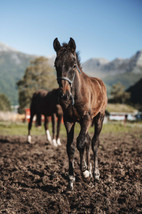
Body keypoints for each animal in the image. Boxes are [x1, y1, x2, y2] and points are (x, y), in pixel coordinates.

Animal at [53, 37, 107, 189]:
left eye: (73, 65)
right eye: (56, 65)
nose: (64, 96)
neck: (75, 94)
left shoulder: (86, 118)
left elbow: (80, 143)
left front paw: (85, 172)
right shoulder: (69, 120)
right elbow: (71, 147)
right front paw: (71, 179)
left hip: (99, 118)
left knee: (94, 142)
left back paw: (95, 174)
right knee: (87, 141)